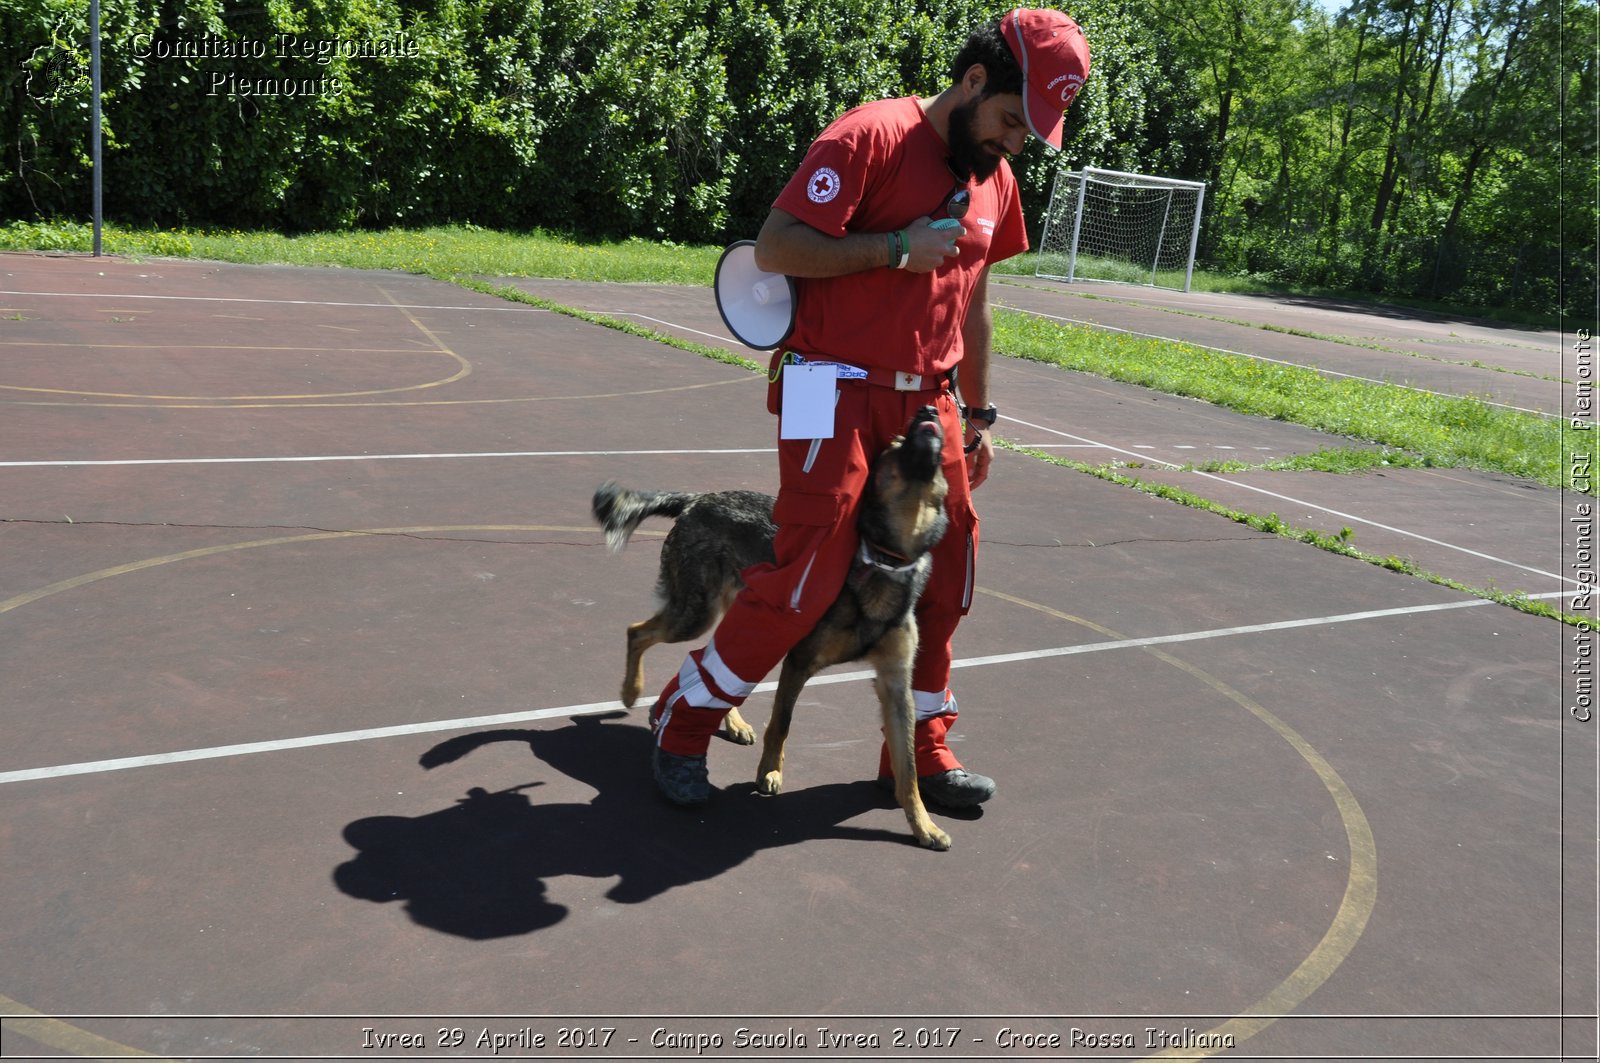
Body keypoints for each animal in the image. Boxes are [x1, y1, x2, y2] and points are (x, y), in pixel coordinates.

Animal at [598, 403, 947, 851]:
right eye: (897, 445)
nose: (928, 407)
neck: (885, 559)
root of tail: (697, 499)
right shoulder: (799, 660)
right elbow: (782, 722)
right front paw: (769, 772)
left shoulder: (896, 683)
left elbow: (909, 768)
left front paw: (924, 825)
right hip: (696, 615)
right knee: (638, 632)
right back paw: (632, 691)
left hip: (733, 614)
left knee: (707, 661)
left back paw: (728, 720)